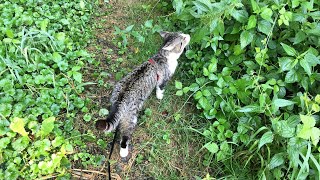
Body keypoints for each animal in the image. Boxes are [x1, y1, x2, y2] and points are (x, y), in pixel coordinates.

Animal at [95, 31, 190, 160]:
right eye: (182, 39)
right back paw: (124, 150)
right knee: (125, 134)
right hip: (131, 117)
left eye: (182, 34)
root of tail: (121, 98)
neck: (164, 56)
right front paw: (160, 96)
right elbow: (160, 89)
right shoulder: (163, 80)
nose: (188, 35)